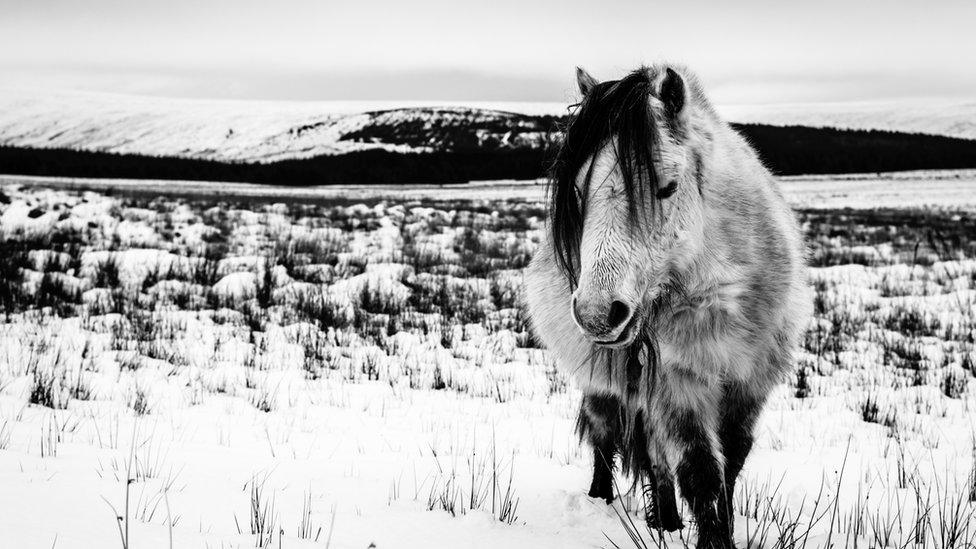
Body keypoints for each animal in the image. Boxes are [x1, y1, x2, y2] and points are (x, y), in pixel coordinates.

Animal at [528, 65, 808, 548]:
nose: (597, 315)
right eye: (578, 192)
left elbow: (731, 464)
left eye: (666, 187)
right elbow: (701, 474)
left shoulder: (749, 384)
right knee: (608, 437)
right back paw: (608, 502)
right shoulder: (678, 384)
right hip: (608, 384)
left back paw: (666, 520)